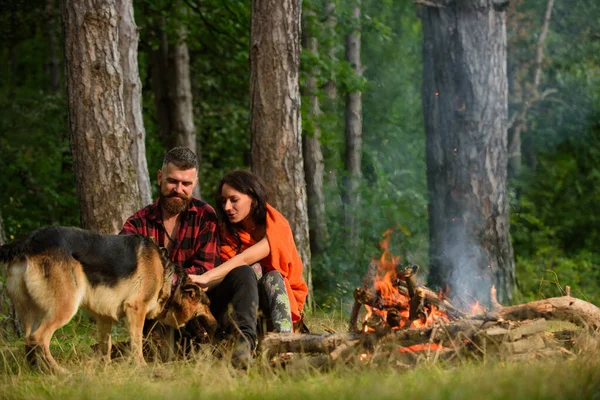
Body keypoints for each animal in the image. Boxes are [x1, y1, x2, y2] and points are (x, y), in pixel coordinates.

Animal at [1, 227, 217, 374]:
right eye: (207, 304)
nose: (217, 327)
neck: (168, 278)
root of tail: (29, 240)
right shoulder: (135, 310)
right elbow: (136, 343)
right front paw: (141, 366)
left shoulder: (104, 318)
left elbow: (106, 346)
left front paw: (106, 368)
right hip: (65, 307)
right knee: (38, 338)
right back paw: (59, 371)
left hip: (31, 313)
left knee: (28, 340)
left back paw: (37, 371)